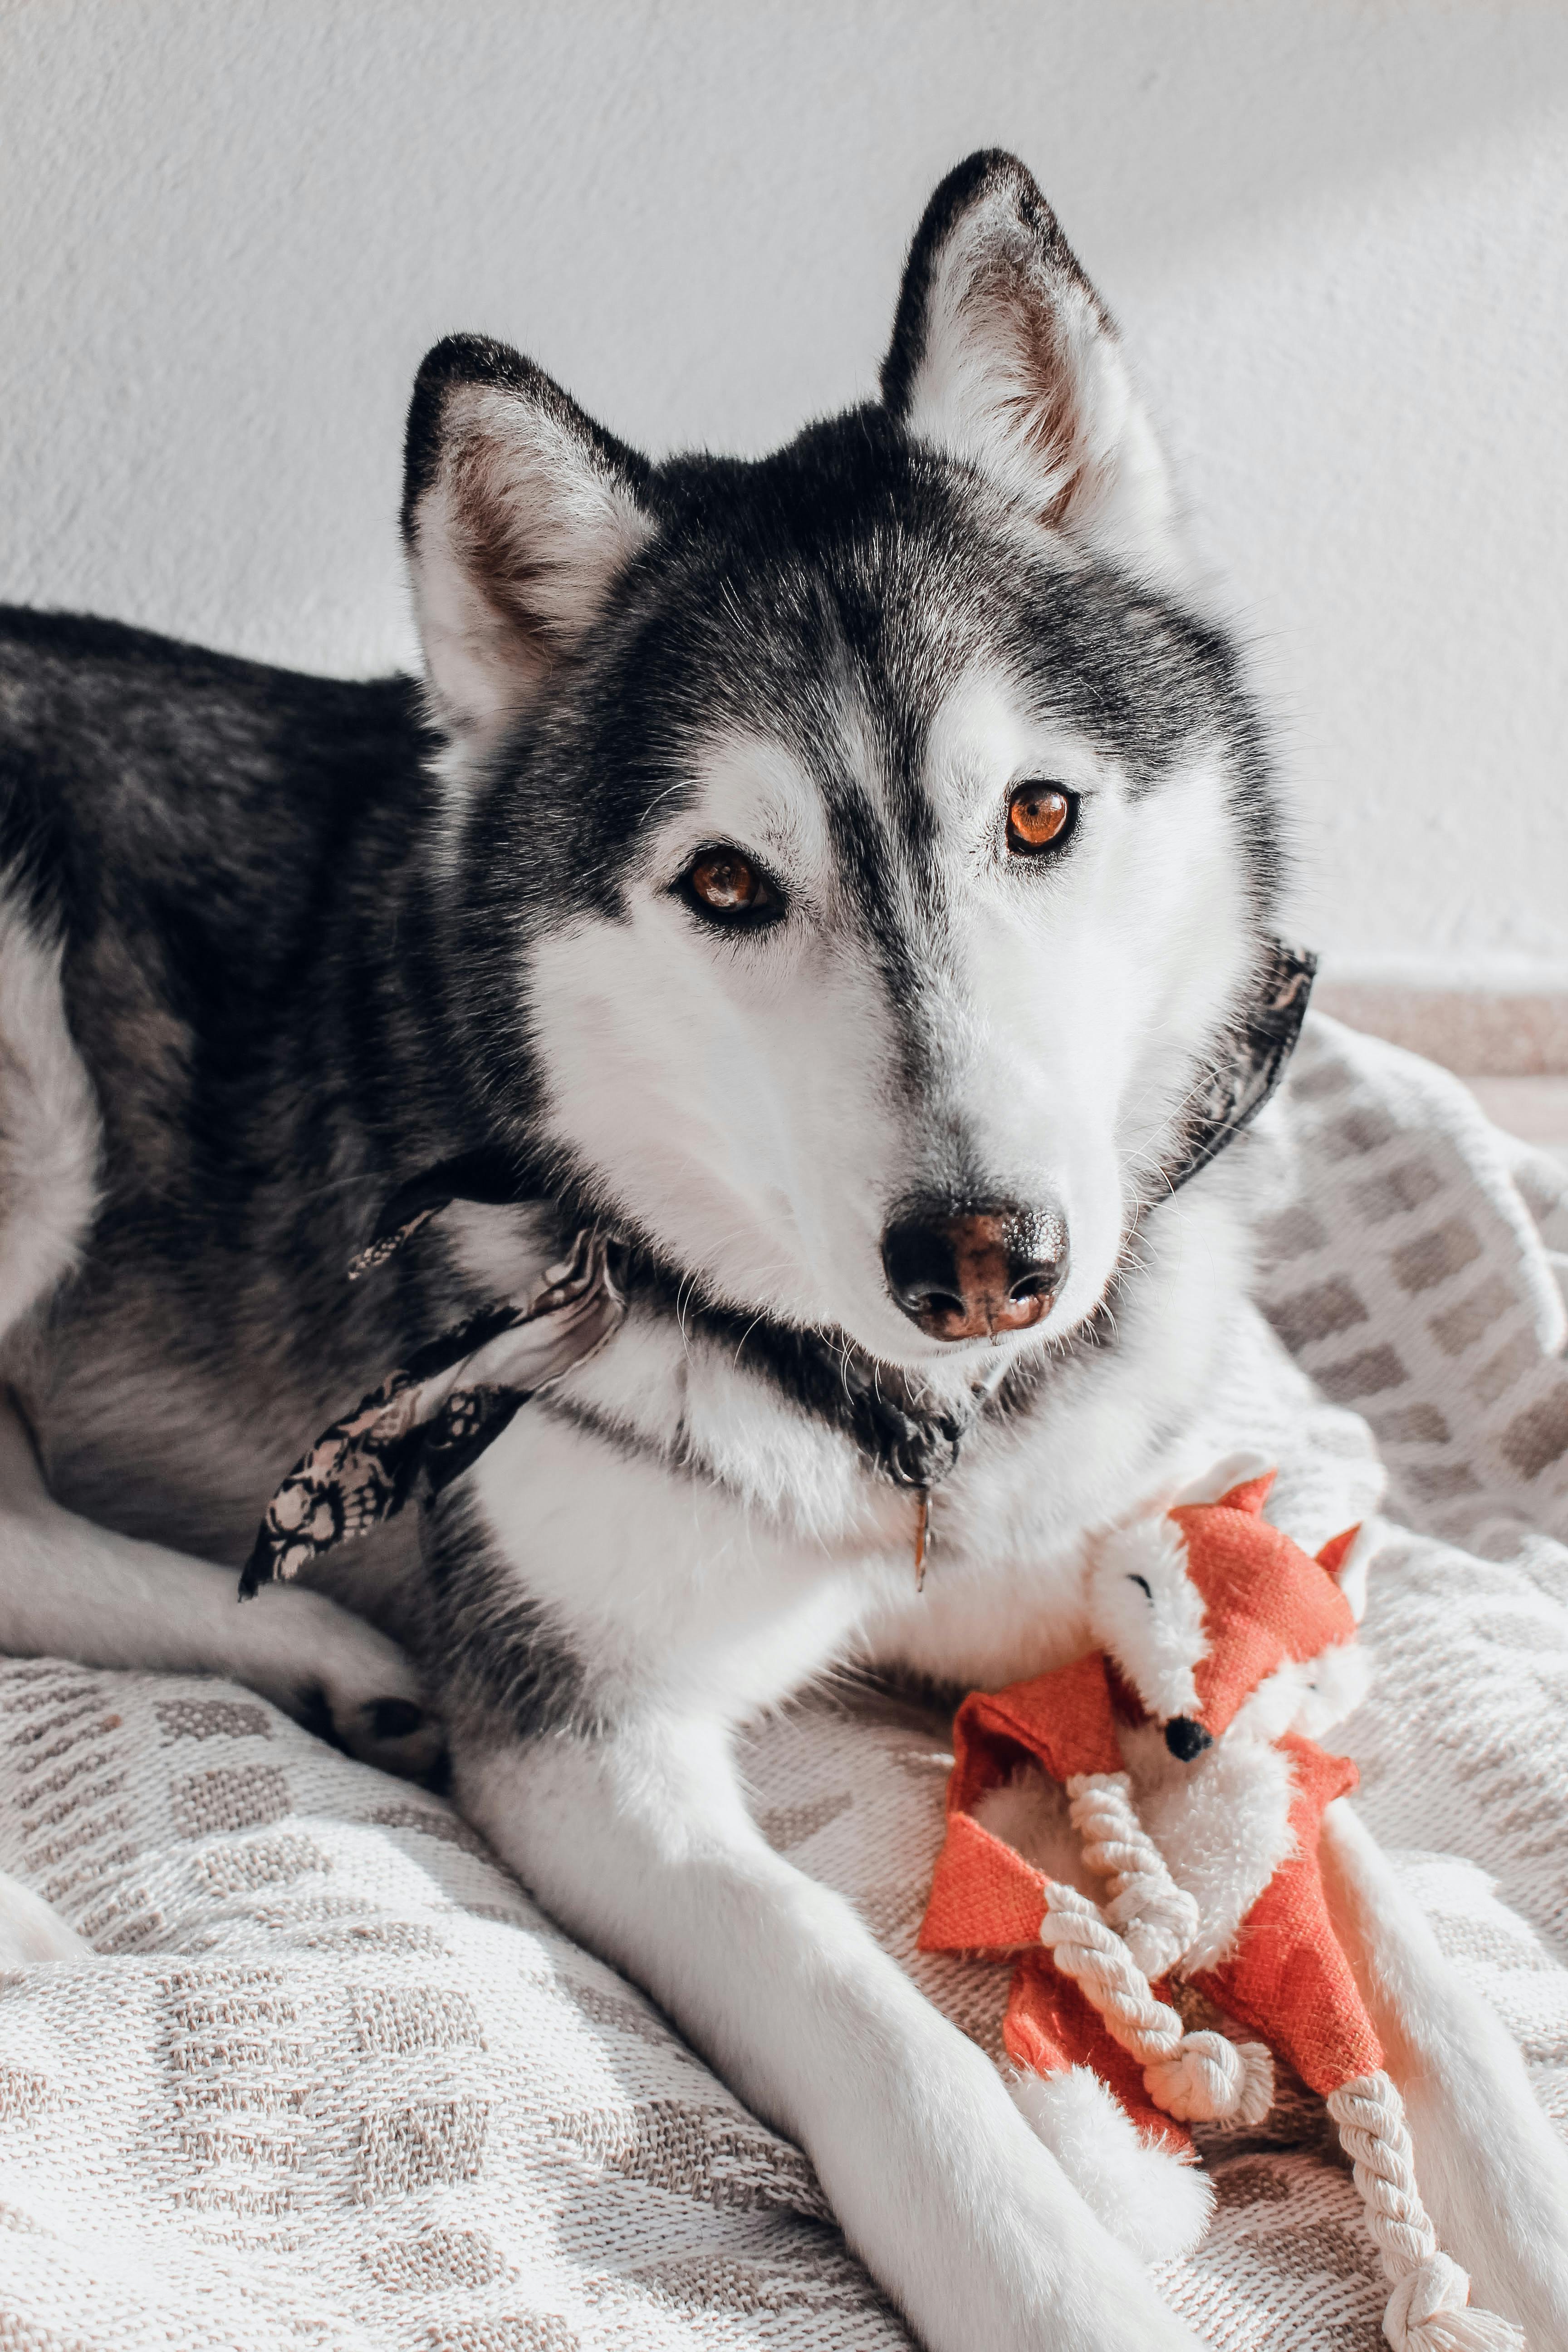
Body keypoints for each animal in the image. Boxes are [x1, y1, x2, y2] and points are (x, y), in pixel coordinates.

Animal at [3, 156, 1568, 2342]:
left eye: (1038, 815)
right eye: (729, 884)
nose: (982, 1257)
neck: (895, 1423)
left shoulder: (1136, 1566)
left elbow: (1390, 1929)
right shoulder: (595, 1754)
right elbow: (875, 2033)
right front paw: (1057, 2272)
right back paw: (325, 1651)